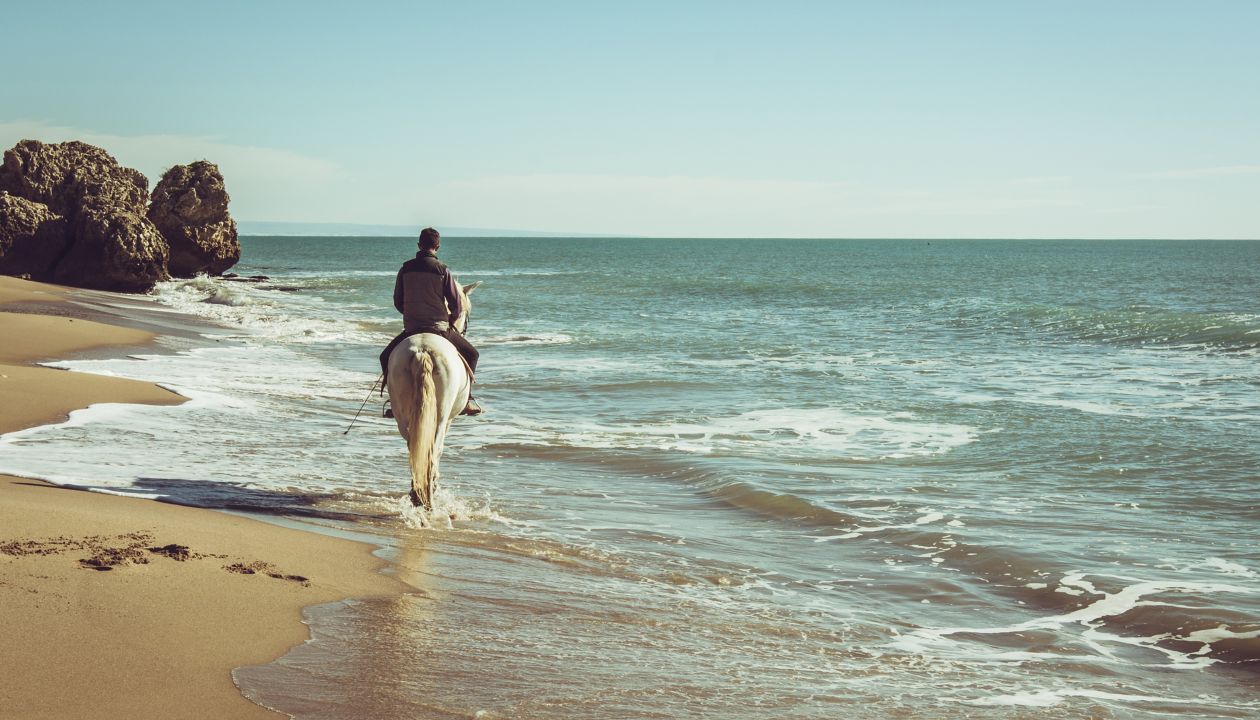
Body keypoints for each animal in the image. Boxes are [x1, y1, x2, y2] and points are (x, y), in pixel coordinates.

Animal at [383, 278, 476, 509]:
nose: (463, 329)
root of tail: (422, 350)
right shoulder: (449, 420)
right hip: (441, 416)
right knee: (431, 454)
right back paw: (428, 498)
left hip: (402, 416)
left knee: (414, 449)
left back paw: (416, 494)